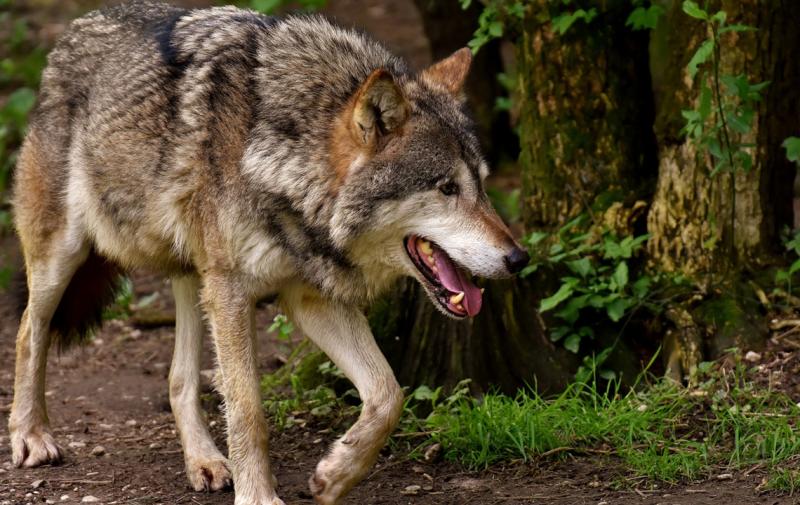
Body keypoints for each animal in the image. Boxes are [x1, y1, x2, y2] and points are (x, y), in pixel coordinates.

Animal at [7, 1, 532, 502]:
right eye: (447, 188)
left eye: (483, 186)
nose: (518, 259)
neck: (285, 162)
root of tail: (73, 31)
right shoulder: (234, 292)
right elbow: (248, 411)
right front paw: (259, 496)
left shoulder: (308, 297)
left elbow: (388, 394)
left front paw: (335, 475)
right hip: (65, 256)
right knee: (29, 330)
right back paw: (31, 436)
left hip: (195, 277)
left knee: (179, 379)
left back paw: (205, 462)